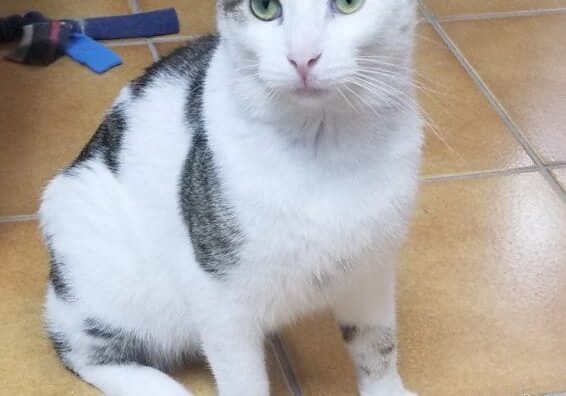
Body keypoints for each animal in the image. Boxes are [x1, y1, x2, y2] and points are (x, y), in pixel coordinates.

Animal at [38, 0, 422, 396]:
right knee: (80, 348)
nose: (302, 58)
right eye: (264, 9)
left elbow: (378, 344)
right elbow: (242, 378)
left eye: (348, 5)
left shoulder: (373, 268)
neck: (322, 148)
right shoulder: (217, 294)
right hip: (102, 262)